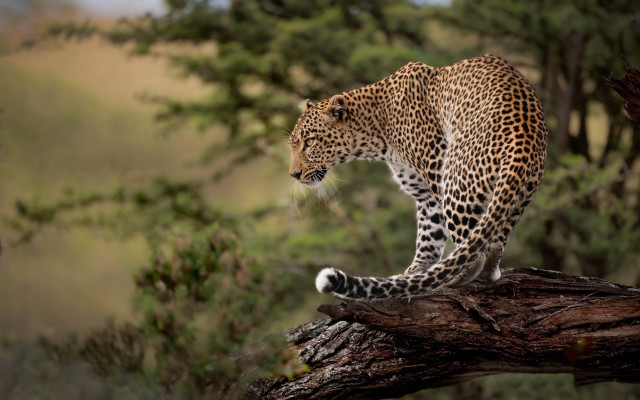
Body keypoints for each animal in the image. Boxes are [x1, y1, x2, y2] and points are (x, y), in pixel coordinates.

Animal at [288, 55, 548, 300]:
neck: (376, 131)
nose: (294, 174)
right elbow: (429, 233)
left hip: (455, 179)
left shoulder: (434, 167)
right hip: (516, 197)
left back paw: (453, 279)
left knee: (475, 252)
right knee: (493, 247)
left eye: (309, 142)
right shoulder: (425, 194)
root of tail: (525, 139)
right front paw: (416, 273)